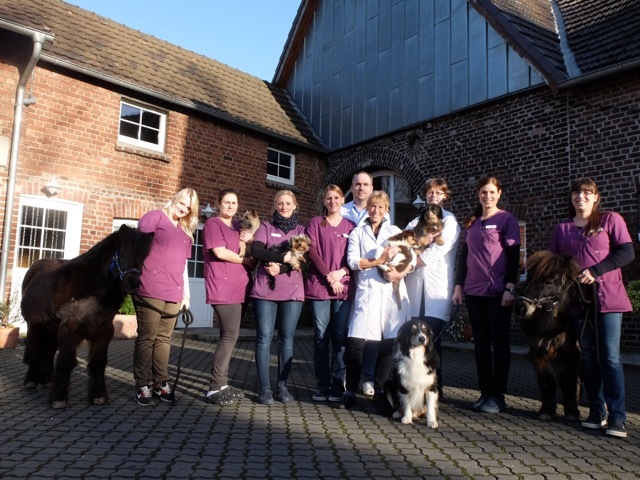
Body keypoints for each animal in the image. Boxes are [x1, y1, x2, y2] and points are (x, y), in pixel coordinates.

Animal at [20, 225, 154, 408]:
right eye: (122, 253)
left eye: (144, 258)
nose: (133, 284)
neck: (93, 288)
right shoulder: (69, 328)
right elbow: (65, 362)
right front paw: (58, 399)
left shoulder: (103, 331)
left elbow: (98, 363)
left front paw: (99, 396)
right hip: (35, 326)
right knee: (35, 350)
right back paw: (31, 381)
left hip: (52, 329)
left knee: (48, 351)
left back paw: (46, 380)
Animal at [513, 250, 583, 421]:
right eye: (528, 276)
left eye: (549, 281)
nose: (520, 308)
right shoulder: (539, 354)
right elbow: (547, 381)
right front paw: (546, 411)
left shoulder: (571, 354)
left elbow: (568, 381)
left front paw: (572, 412)